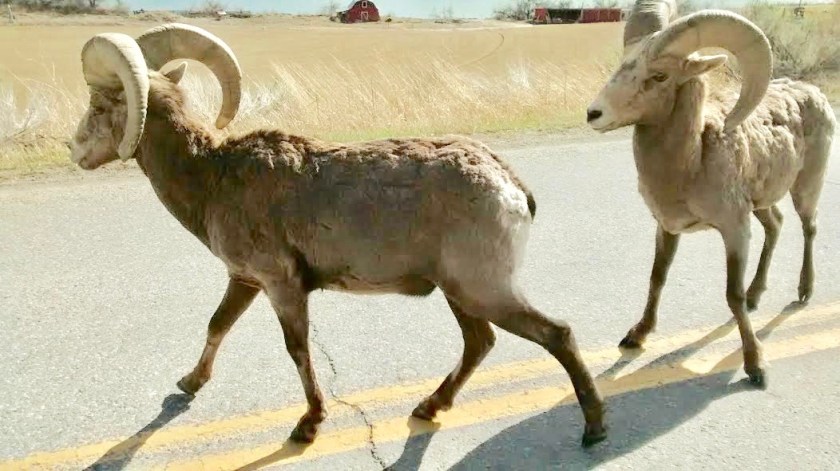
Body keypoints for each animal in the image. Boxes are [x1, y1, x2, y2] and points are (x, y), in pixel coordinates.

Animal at [68, 24, 607, 446]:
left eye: (98, 105)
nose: (73, 150)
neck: (212, 179)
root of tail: (510, 185)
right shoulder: (245, 281)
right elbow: (217, 326)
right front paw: (189, 383)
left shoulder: (282, 287)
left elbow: (297, 350)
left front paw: (308, 425)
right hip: (461, 293)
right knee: (480, 343)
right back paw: (428, 407)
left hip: (483, 289)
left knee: (555, 334)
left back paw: (594, 428)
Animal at [586, 2, 836, 386]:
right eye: (622, 63)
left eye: (659, 76)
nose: (594, 114)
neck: (693, 161)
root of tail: (814, 93)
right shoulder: (668, 228)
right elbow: (657, 277)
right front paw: (636, 336)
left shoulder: (734, 230)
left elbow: (731, 294)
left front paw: (755, 366)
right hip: (761, 204)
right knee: (776, 225)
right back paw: (757, 295)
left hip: (806, 187)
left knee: (809, 227)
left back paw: (804, 291)